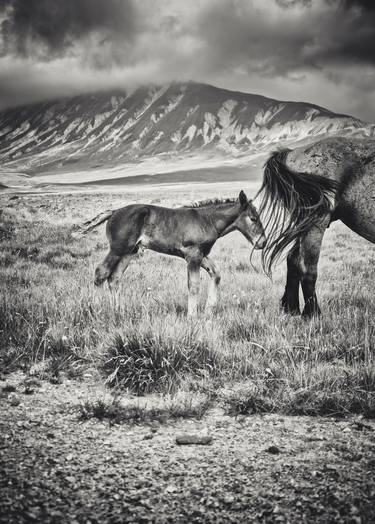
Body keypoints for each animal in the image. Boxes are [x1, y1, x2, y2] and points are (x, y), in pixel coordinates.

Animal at [80, 191, 266, 318]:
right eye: (253, 218)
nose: (263, 243)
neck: (207, 221)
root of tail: (114, 212)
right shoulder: (193, 255)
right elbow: (194, 285)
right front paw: (192, 316)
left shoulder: (201, 254)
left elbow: (216, 273)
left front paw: (209, 310)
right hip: (118, 249)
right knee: (101, 273)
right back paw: (96, 310)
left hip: (129, 251)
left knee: (114, 278)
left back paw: (118, 311)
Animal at [258, 135, 375, 318]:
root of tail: (293, 152)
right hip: (316, 222)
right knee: (307, 268)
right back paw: (312, 314)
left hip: (303, 223)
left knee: (293, 260)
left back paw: (291, 308)